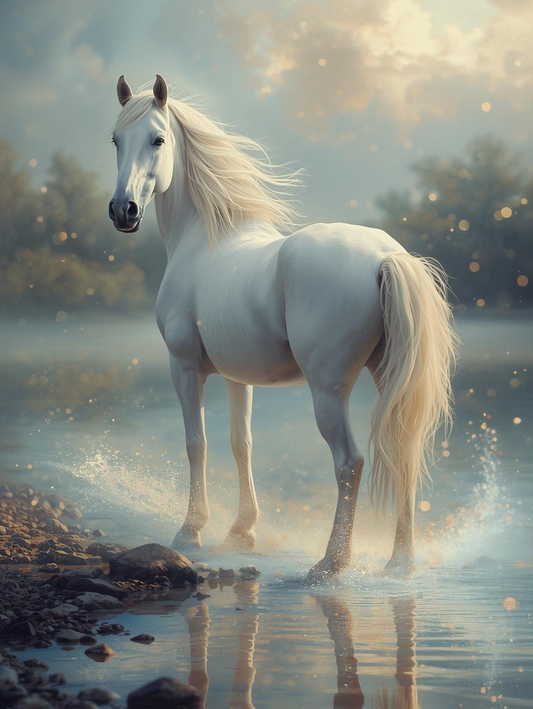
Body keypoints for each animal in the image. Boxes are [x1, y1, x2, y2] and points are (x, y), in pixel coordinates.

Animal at [108, 74, 458, 580]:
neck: (204, 240)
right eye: (115, 140)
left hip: (328, 392)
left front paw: (190, 531)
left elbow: (197, 444)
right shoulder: (237, 378)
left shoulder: (185, 368)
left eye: (157, 139)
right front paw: (242, 532)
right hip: (386, 377)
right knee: (404, 455)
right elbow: (241, 444)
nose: (124, 211)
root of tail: (384, 257)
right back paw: (399, 563)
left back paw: (330, 565)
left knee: (349, 463)